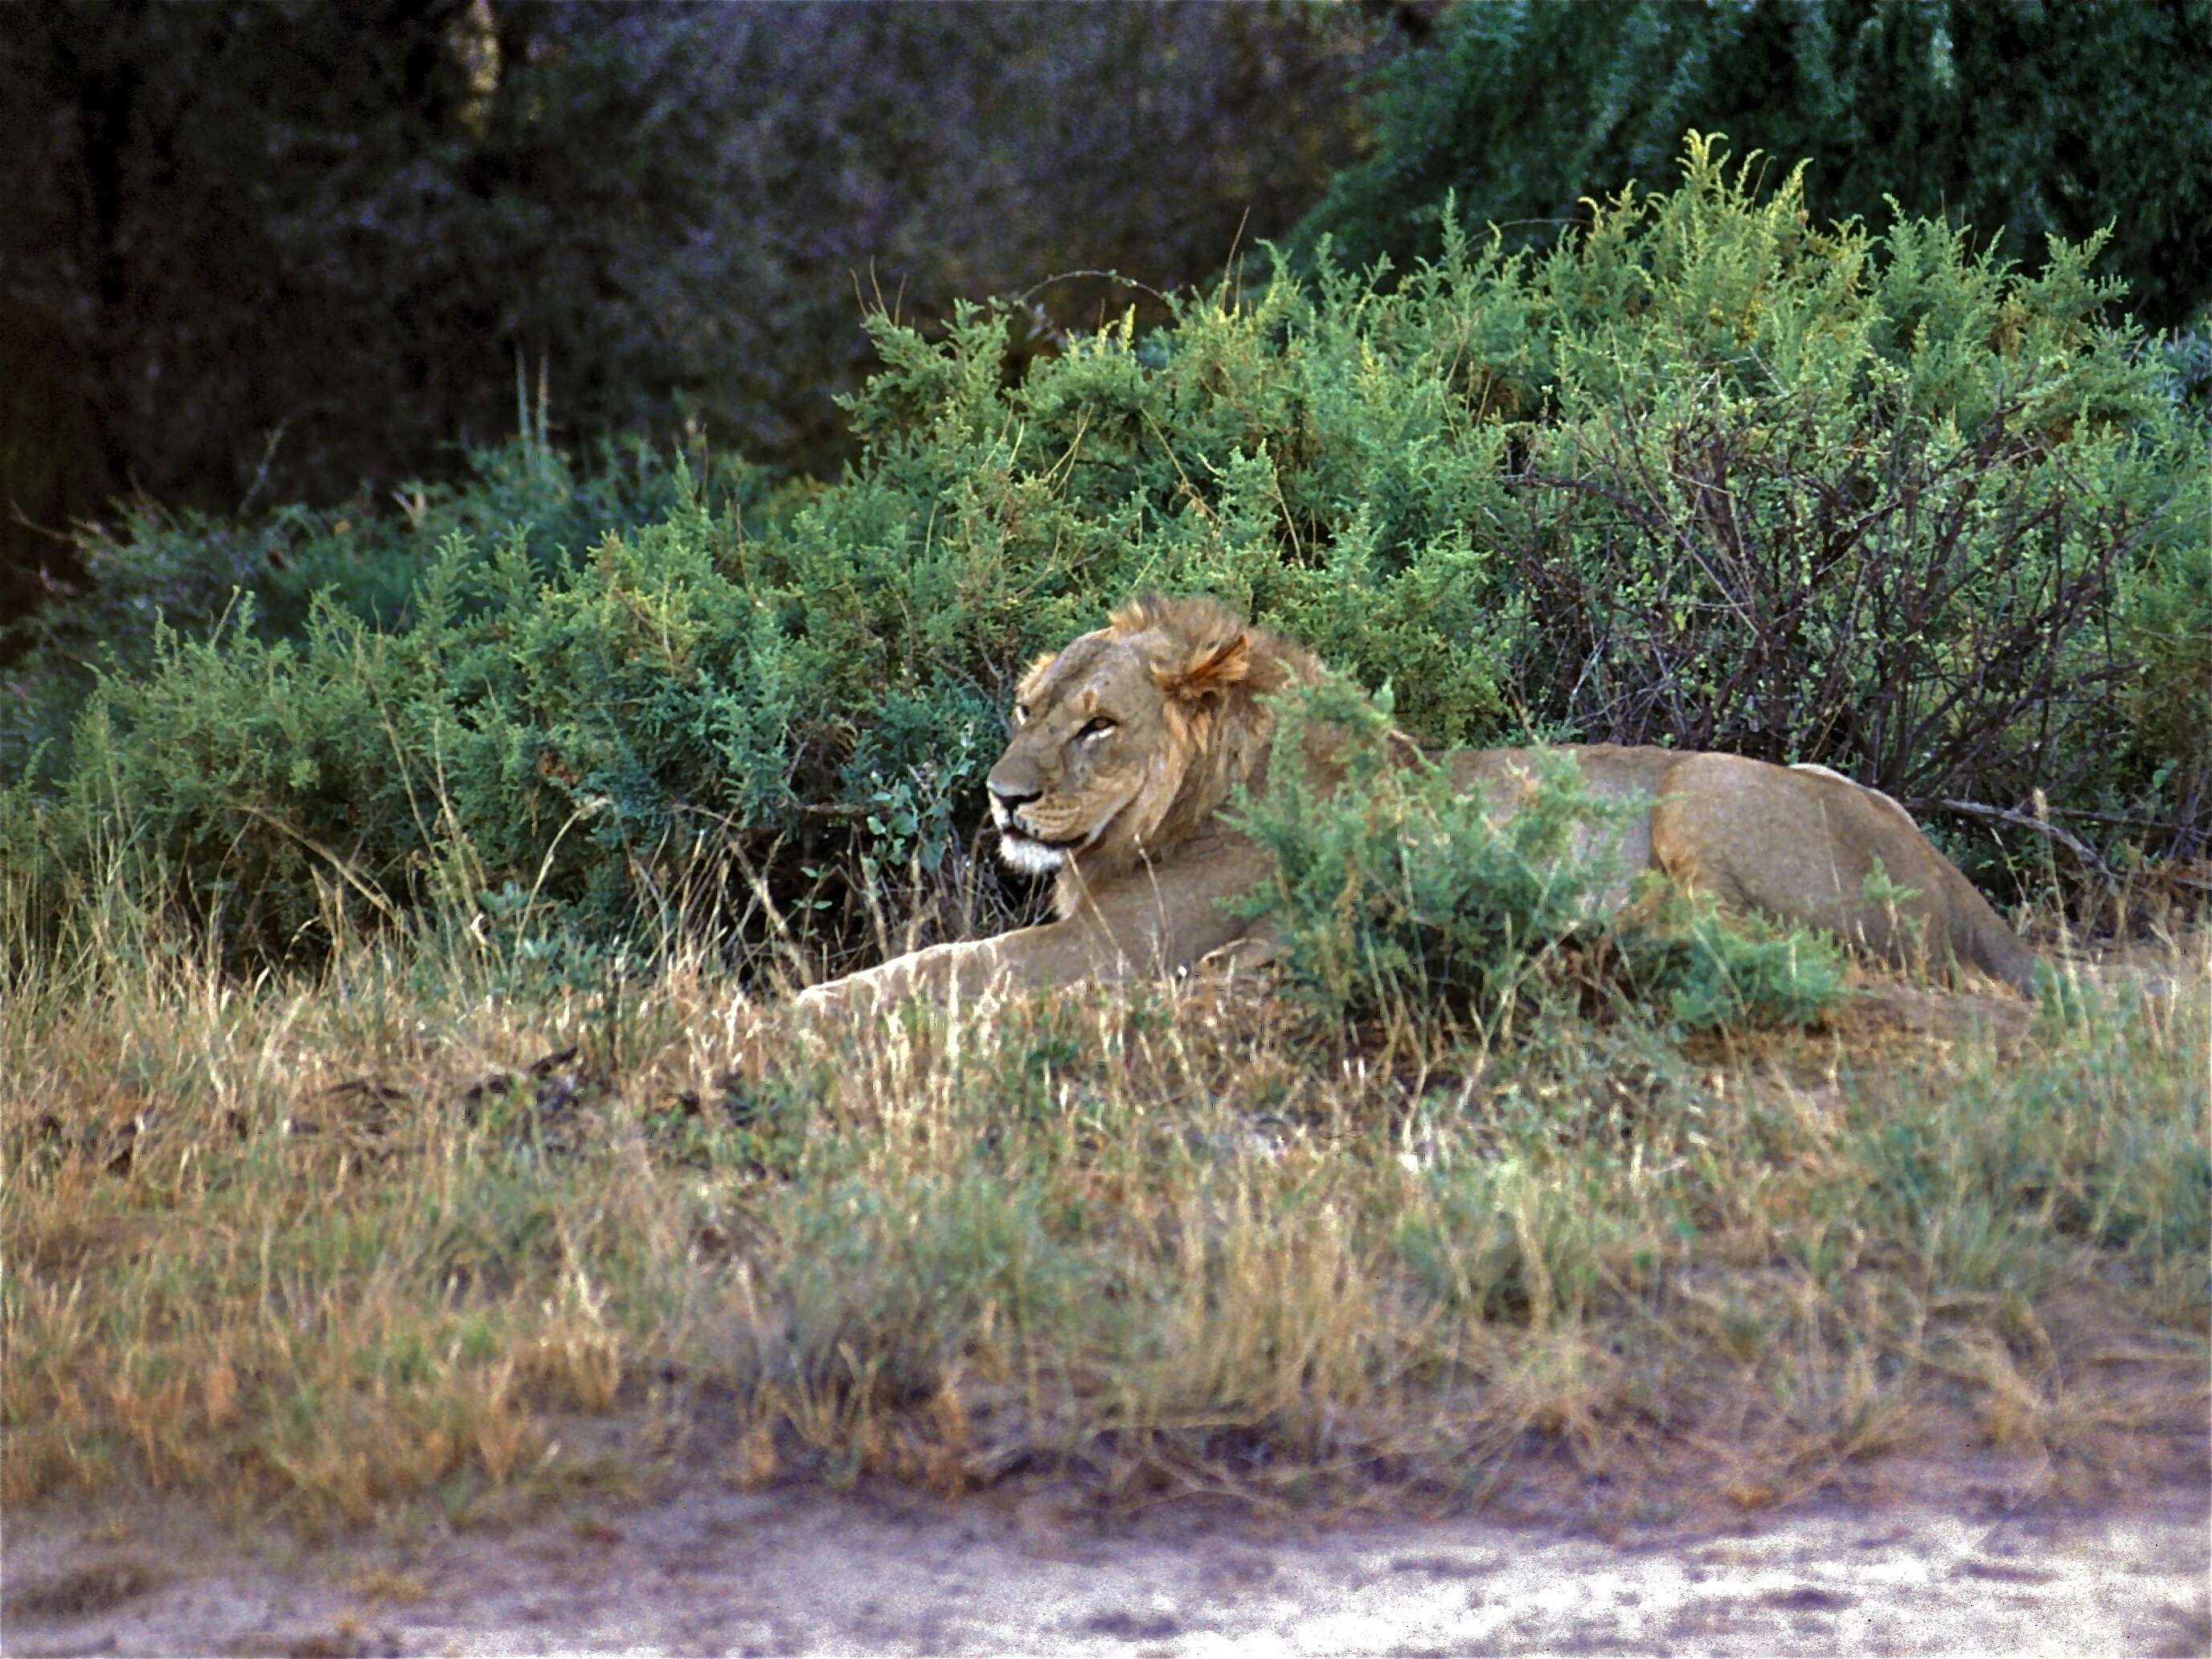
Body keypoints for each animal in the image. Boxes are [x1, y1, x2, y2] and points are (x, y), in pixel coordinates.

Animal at [796, 592, 2034, 1022]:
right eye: (1028, 707)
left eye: (1099, 725)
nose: (1001, 798)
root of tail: (1982, 914)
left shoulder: (1109, 955)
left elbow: (938, 969)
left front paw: (788, 1011)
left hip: (1707, 792)